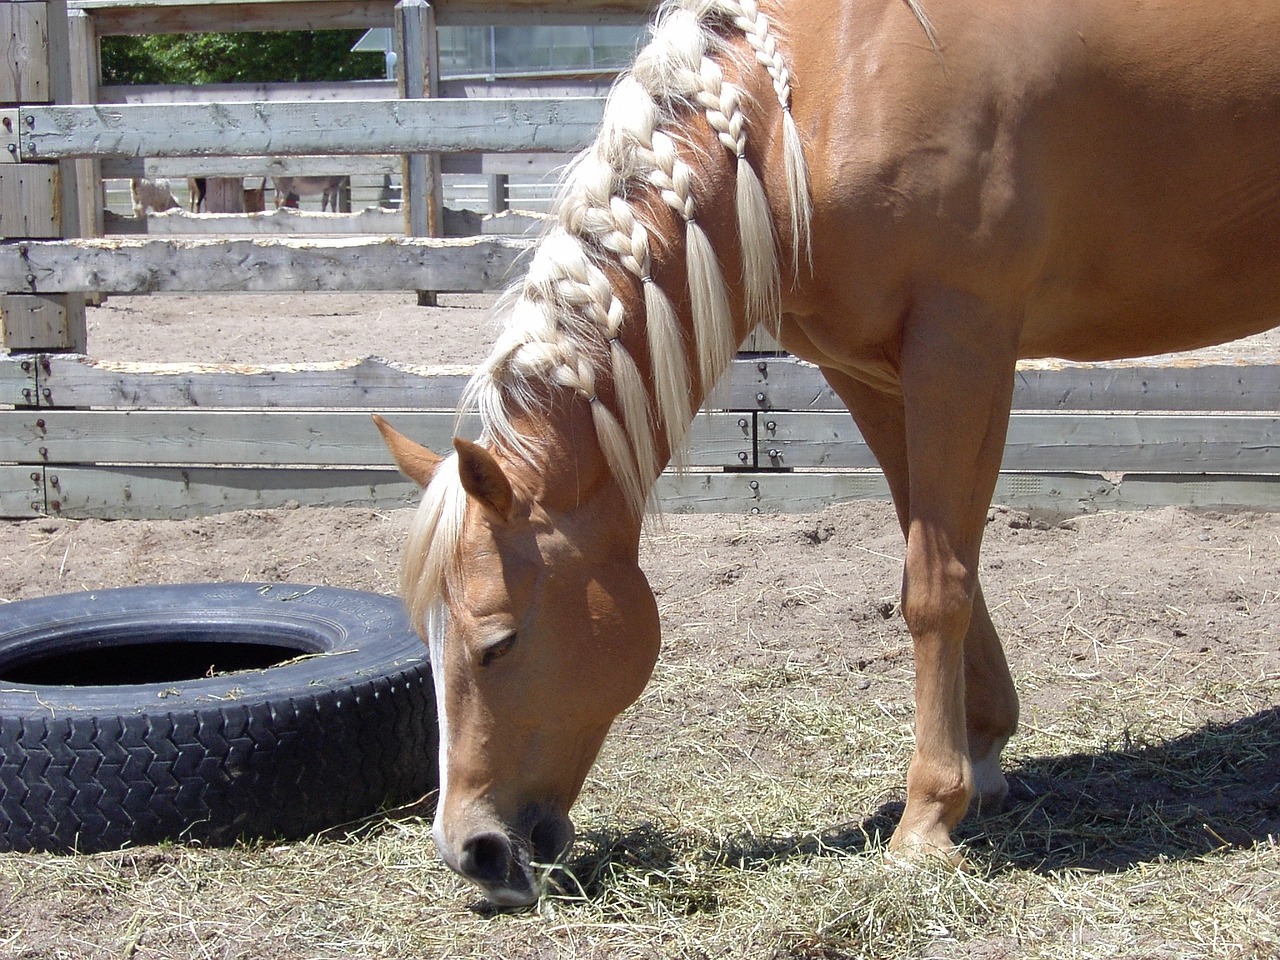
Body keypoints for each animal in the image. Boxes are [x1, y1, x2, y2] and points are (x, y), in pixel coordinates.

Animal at [373, 0, 1280, 911]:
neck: (800, 110)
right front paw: (984, 755)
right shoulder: (870, 371)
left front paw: (927, 821)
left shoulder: (961, 343)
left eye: (497, 642)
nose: (472, 851)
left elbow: (936, 586)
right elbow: (940, 556)